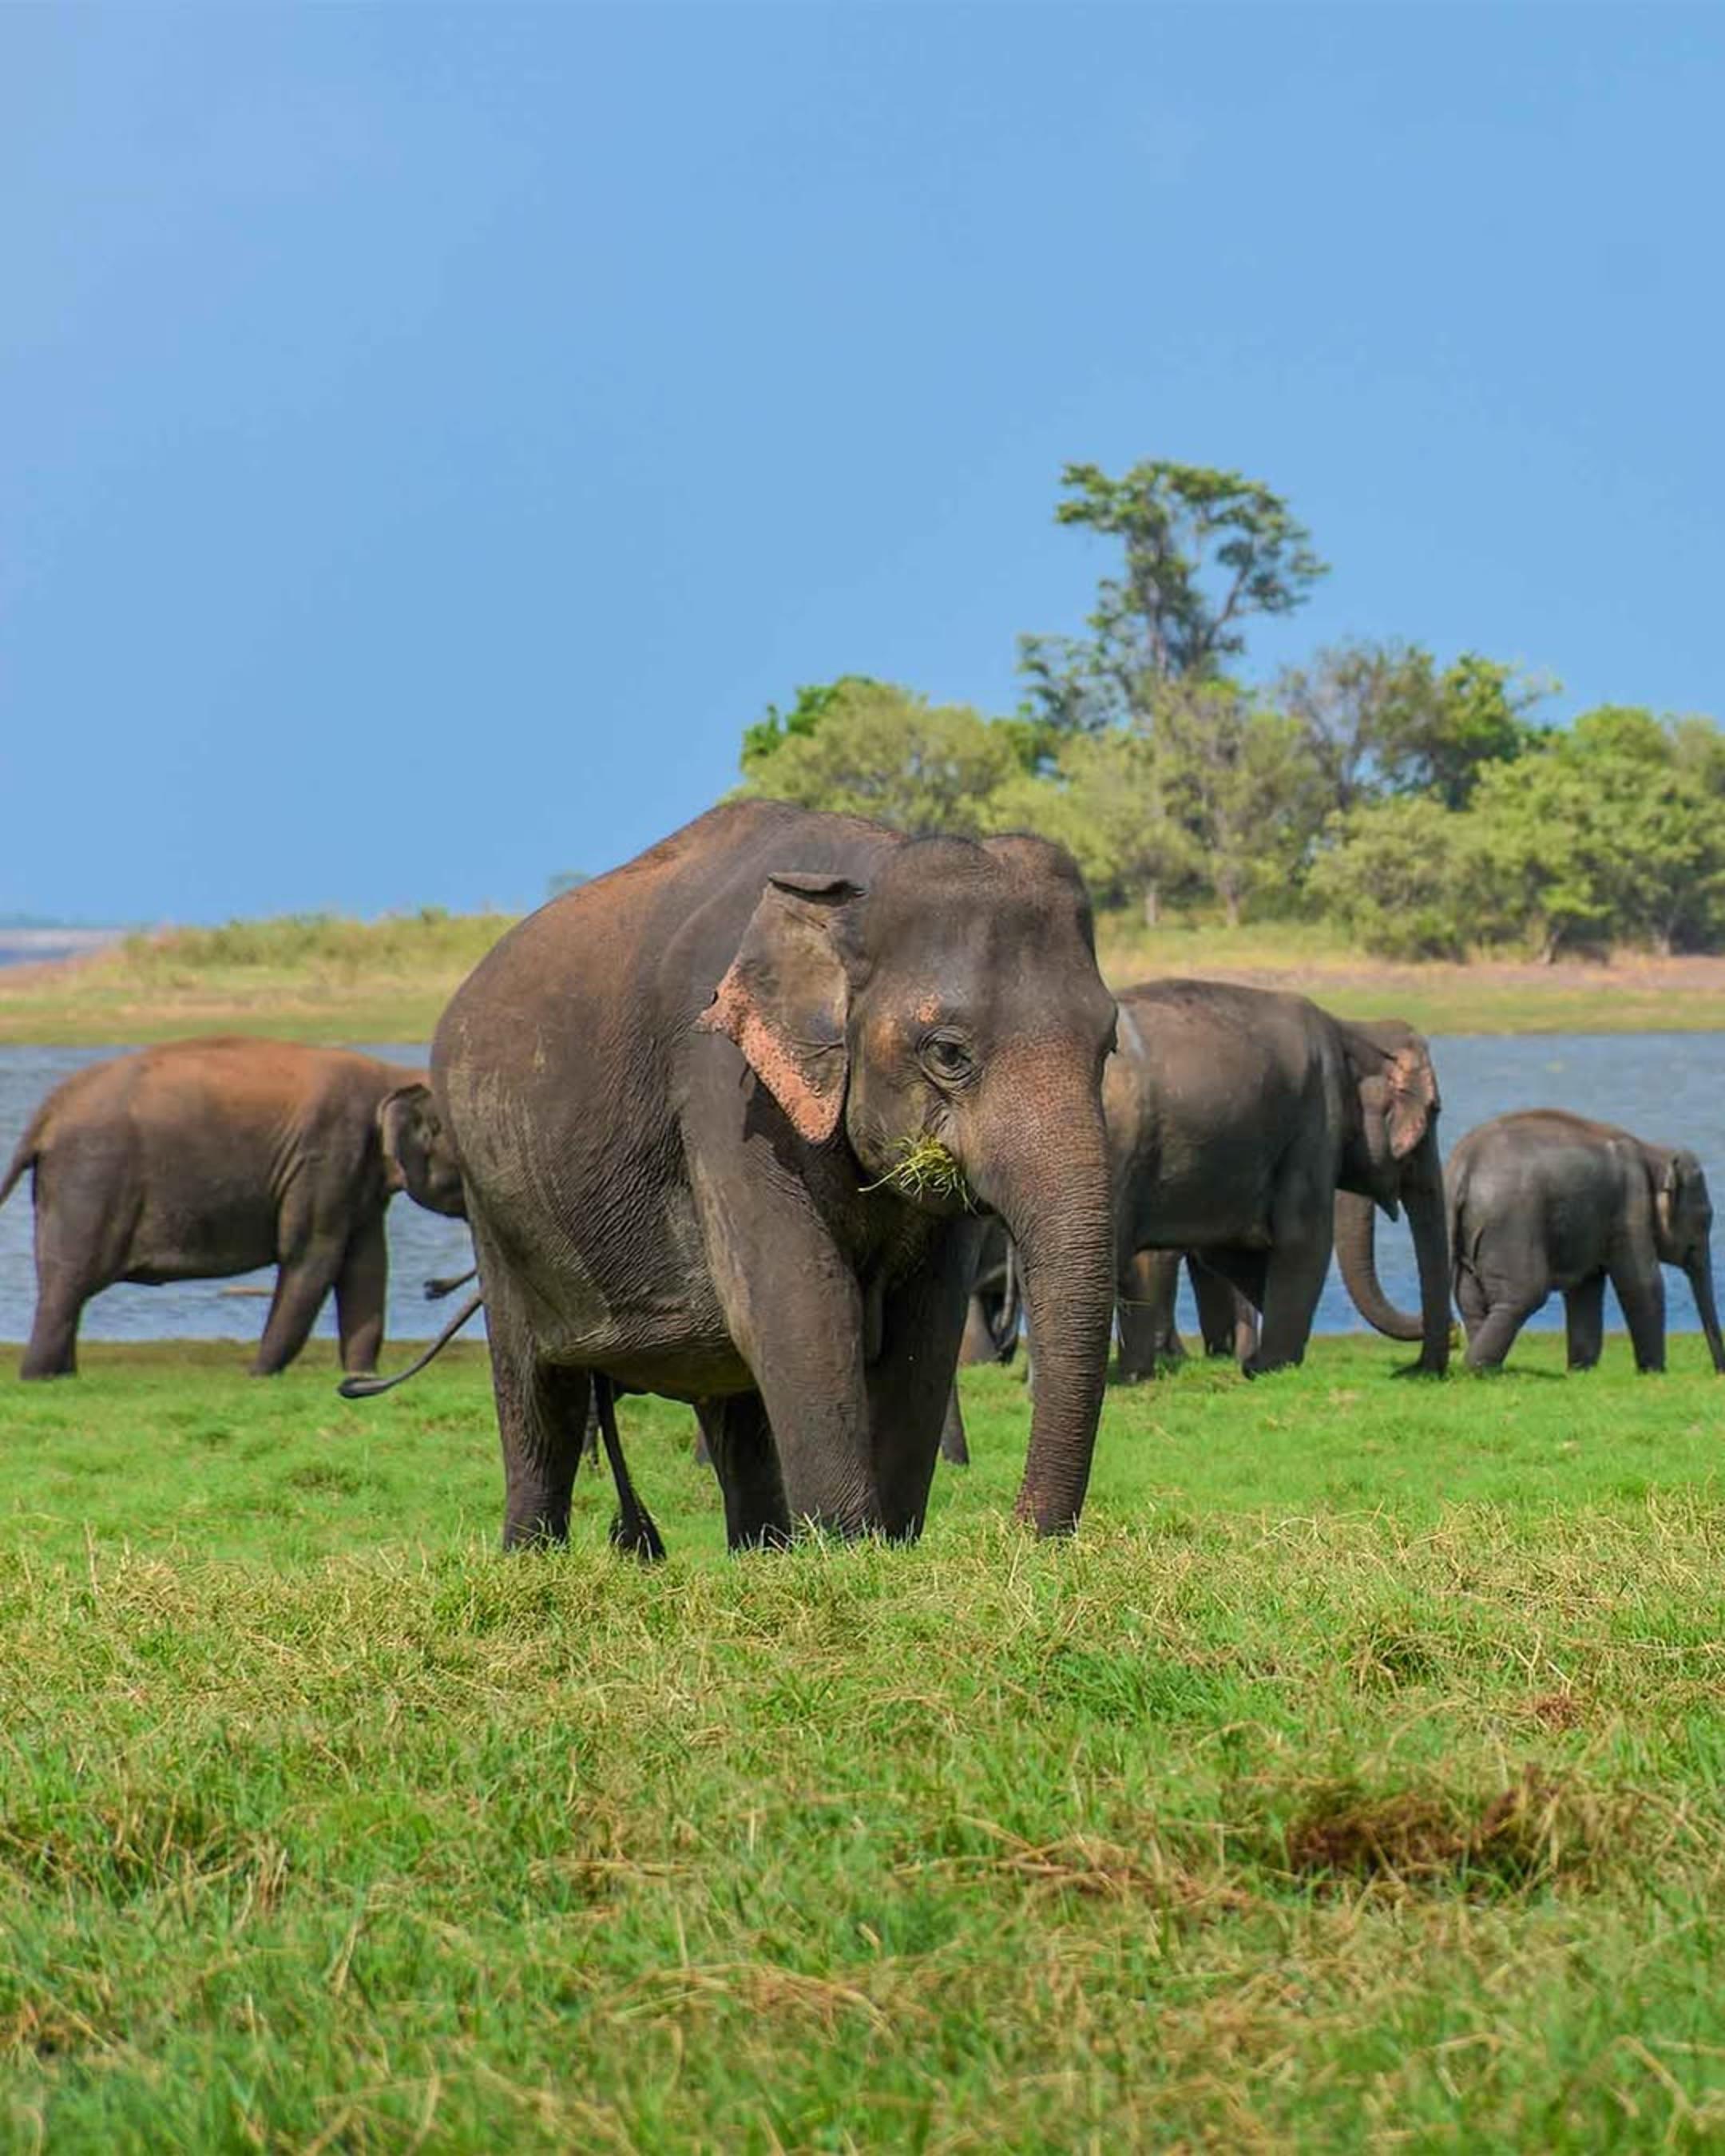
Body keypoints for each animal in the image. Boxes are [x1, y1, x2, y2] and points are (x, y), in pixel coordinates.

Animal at [0, 1037, 466, 1378]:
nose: (433, 1288)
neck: (393, 1075)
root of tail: (47, 1113)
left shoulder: (359, 1180)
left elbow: (366, 1265)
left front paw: (360, 1377)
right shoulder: (326, 1157)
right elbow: (312, 1256)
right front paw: (260, 1375)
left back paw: (62, 1377)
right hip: (90, 1177)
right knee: (70, 1283)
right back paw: (39, 1378)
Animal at [414, 799, 1118, 1553]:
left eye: (1108, 1045)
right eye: (949, 1053)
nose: (1021, 1532)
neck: (859, 880)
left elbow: (924, 1326)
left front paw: (890, 1546)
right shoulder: (723, 1085)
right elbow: (798, 1305)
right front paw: (849, 1549)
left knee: (734, 1410)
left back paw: (763, 1553)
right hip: (495, 1208)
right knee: (539, 1396)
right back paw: (533, 1554)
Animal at [1105, 983, 1451, 1378]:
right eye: (1435, 1111)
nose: (1414, 1370)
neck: (1353, 1029)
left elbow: (1228, 1251)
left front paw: (1255, 1363)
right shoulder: (1316, 1118)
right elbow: (1305, 1237)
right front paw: (1273, 1364)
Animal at [1446, 1109, 1725, 1373]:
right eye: (1705, 1218)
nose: (1718, 1371)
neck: (1654, 1151)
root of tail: (1463, 1166)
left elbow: (1586, 1288)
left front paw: (1581, 1370)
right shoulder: (1631, 1205)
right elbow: (1642, 1282)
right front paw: (1654, 1372)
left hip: (1473, 1235)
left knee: (1470, 1299)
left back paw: (1486, 1368)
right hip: (1511, 1226)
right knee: (1523, 1295)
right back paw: (1478, 1368)